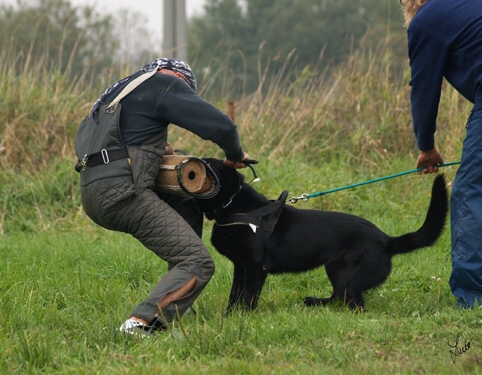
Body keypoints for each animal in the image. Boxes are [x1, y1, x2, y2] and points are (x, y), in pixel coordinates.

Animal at [195, 160, 448, 312]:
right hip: (334, 269)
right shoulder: (241, 266)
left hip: (346, 277)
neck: (235, 206)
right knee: (339, 298)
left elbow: (248, 297)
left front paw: (244, 317)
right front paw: (230, 316)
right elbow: (235, 295)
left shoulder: (257, 266)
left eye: (208, 164)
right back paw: (315, 302)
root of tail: (386, 240)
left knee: (354, 303)